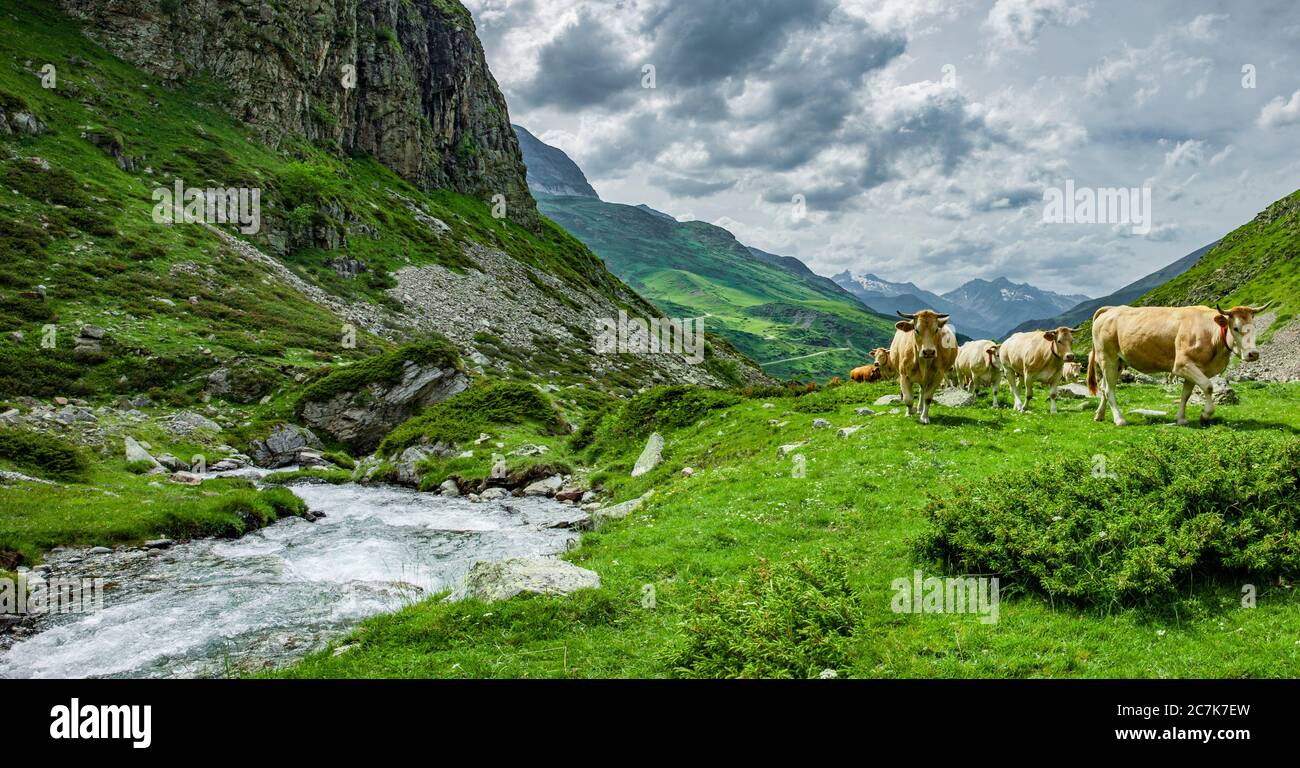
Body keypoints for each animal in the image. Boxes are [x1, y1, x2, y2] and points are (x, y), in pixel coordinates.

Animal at [1086, 304, 1268, 426]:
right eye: (1235, 328)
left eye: (1254, 327)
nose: (1253, 354)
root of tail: (1110, 309)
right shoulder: (1182, 364)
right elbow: (1208, 386)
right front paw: (1205, 415)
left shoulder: (1196, 368)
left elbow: (1186, 394)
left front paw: (1181, 419)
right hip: (1107, 358)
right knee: (1109, 390)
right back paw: (1119, 419)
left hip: (1118, 362)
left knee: (1104, 387)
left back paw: (1099, 415)